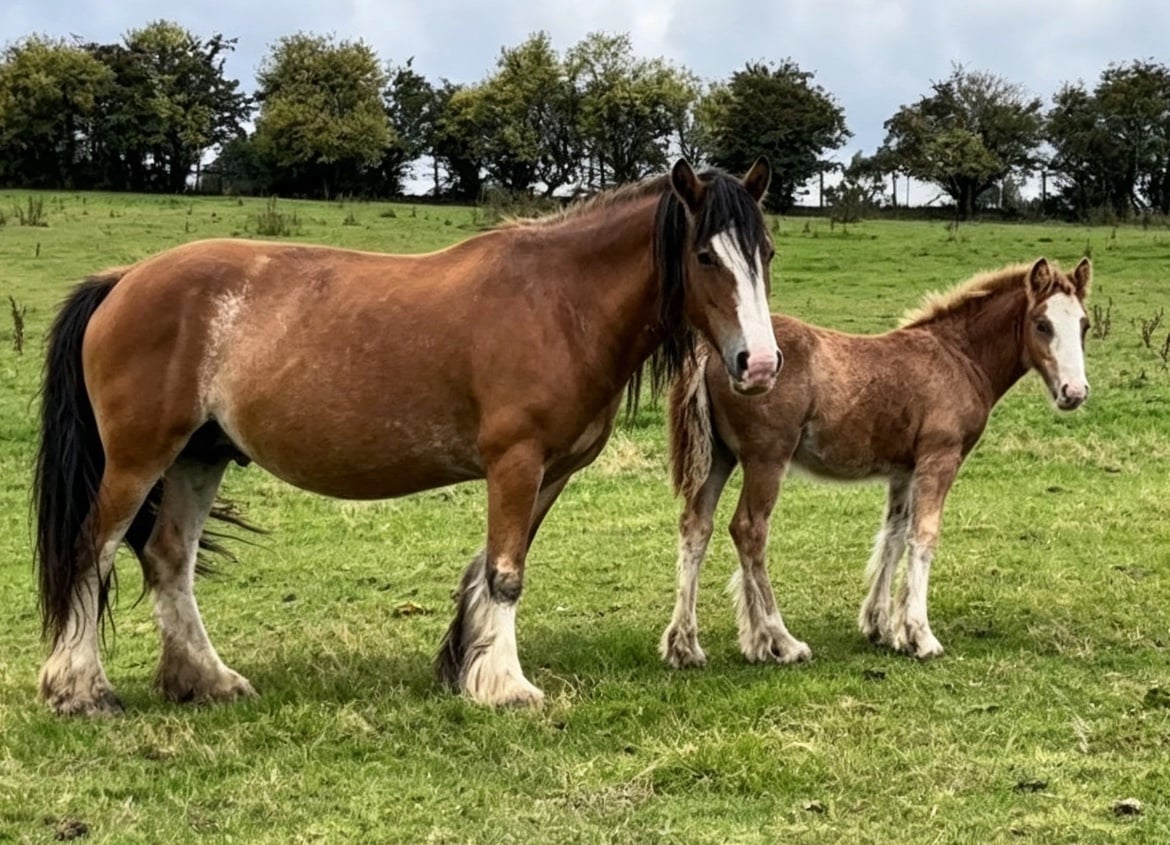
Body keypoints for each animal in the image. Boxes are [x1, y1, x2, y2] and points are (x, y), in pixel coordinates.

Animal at [34, 158, 782, 716]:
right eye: (705, 255)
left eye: (765, 252)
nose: (760, 364)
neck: (559, 302)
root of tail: (122, 280)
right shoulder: (514, 463)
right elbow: (506, 574)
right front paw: (506, 685)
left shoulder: (550, 471)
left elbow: (492, 566)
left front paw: (463, 666)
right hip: (138, 459)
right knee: (92, 550)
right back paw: (80, 688)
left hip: (198, 456)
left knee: (168, 558)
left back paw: (207, 680)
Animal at [661, 257, 1091, 668]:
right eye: (1042, 325)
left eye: (1084, 325)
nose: (1074, 392)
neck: (959, 357)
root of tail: (712, 350)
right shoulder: (940, 458)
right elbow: (923, 536)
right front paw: (921, 635)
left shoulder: (904, 471)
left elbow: (894, 535)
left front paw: (882, 627)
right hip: (767, 457)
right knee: (749, 530)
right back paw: (783, 641)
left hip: (719, 457)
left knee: (696, 527)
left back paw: (691, 645)